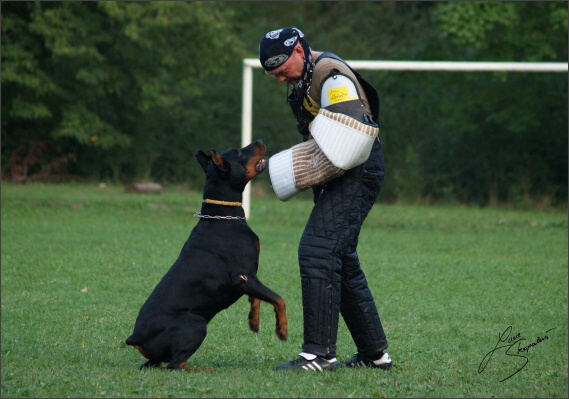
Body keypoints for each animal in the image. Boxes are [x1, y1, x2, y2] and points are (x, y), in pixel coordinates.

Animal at [123, 140, 284, 372]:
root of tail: (135, 338)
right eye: (238, 152)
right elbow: (279, 299)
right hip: (196, 323)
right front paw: (282, 329)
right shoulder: (242, 276)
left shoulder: (248, 277)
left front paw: (254, 320)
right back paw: (206, 370)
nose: (260, 141)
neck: (222, 216)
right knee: (175, 366)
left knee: (156, 364)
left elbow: (258, 296)